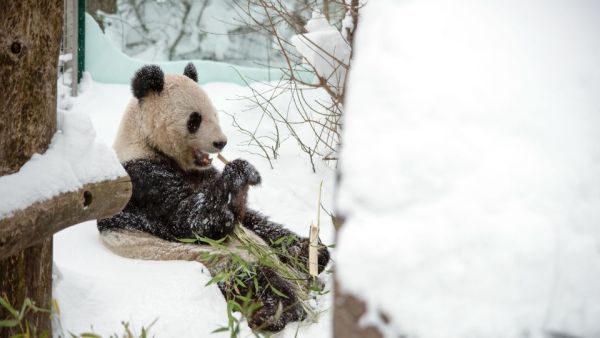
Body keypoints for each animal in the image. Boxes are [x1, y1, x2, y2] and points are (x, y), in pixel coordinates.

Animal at [100, 64, 330, 332]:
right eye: (195, 120)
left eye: (214, 114)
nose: (221, 142)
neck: (145, 142)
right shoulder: (141, 182)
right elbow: (190, 223)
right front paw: (239, 171)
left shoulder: (202, 175)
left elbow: (246, 218)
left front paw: (310, 248)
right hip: (213, 264)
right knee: (253, 279)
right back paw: (281, 310)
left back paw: (310, 259)